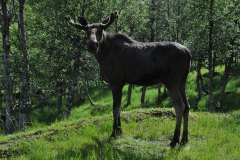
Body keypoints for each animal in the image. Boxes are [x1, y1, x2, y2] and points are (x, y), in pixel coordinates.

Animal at [65, 11, 191, 147]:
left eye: (100, 30)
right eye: (87, 31)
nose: (92, 44)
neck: (103, 55)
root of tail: (188, 53)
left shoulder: (115, 82)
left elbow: (115, 109)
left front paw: (114, 133)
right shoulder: (121, 83)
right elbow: (120, 108)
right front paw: (119, 131)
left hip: (172, 81)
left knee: (179, 106)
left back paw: (175, 140)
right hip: (182, 81)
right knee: (187, 106)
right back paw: (185, 139)